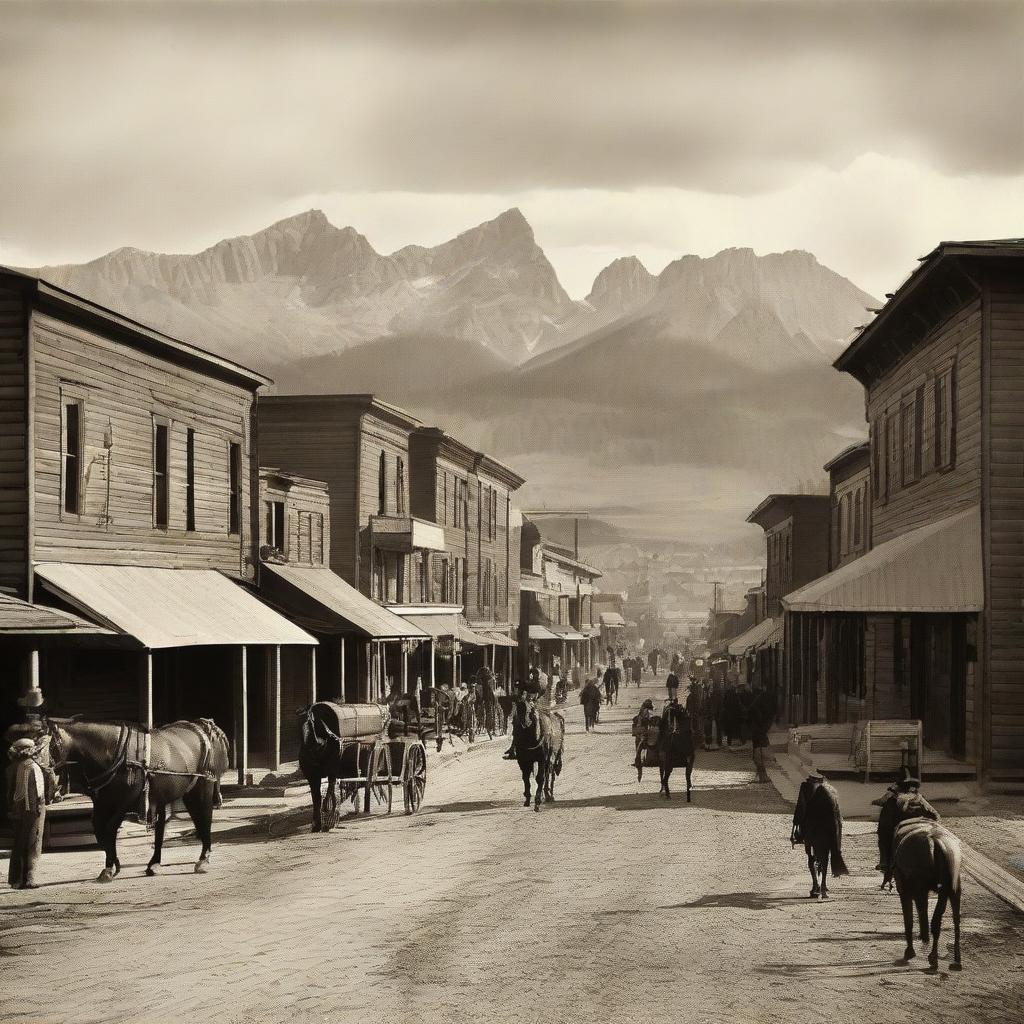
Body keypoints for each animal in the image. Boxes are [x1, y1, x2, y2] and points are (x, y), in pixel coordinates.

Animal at [46, 716, 228, 884]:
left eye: (49, 746)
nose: (47, 777)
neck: (112, 751)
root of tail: (201, 726)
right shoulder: (102, 802)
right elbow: (99, 830)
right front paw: (112, 865)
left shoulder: (125, 801)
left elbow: (110, 829)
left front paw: (111, 868)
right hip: (177, 793)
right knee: (168, 826)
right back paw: (154, 864)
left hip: (202, 787)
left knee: (204, 817)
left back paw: (203, 859)